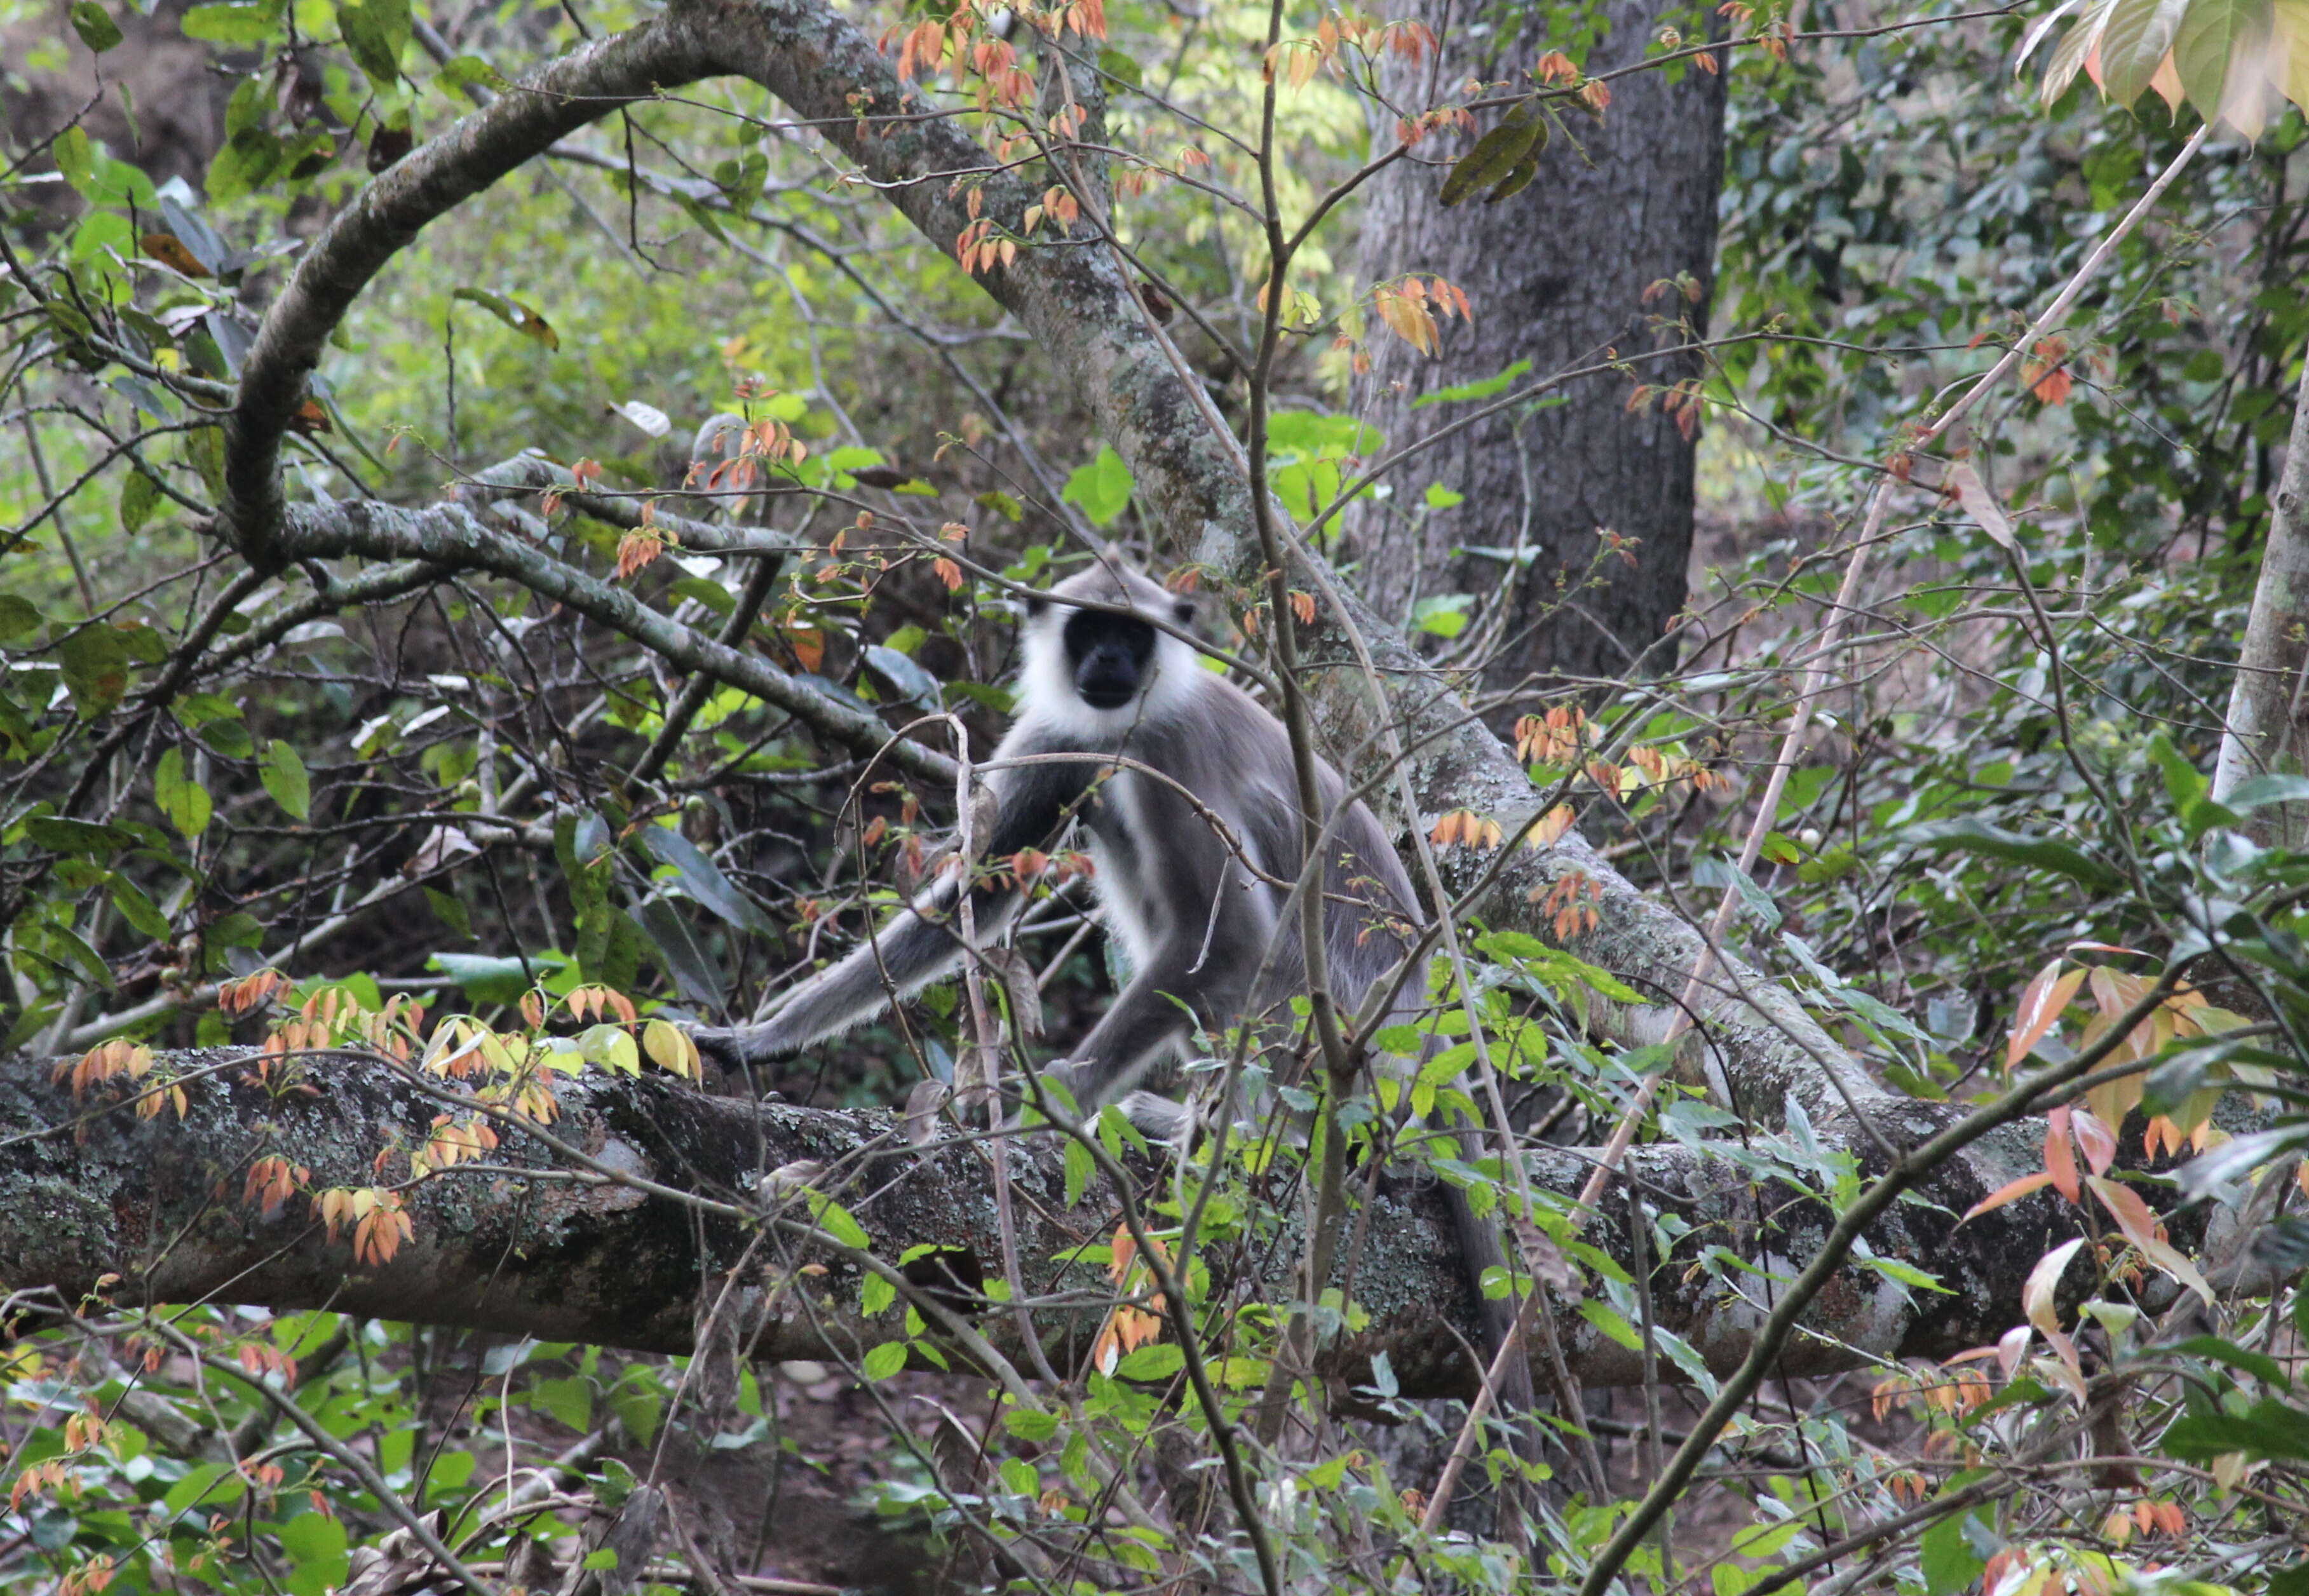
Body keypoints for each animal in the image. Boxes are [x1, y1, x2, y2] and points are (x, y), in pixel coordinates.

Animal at [693, 558, 1542, 1431]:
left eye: (1131, 634)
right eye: (1089, 632)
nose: (1108, 662)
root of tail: (1429, 1046)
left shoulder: (1169, 754)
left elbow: (1231, 938)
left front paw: (1045, 1100)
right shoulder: (1057, 733)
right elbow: (975, 897)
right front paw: (765, 1035)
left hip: (1344, 1046)